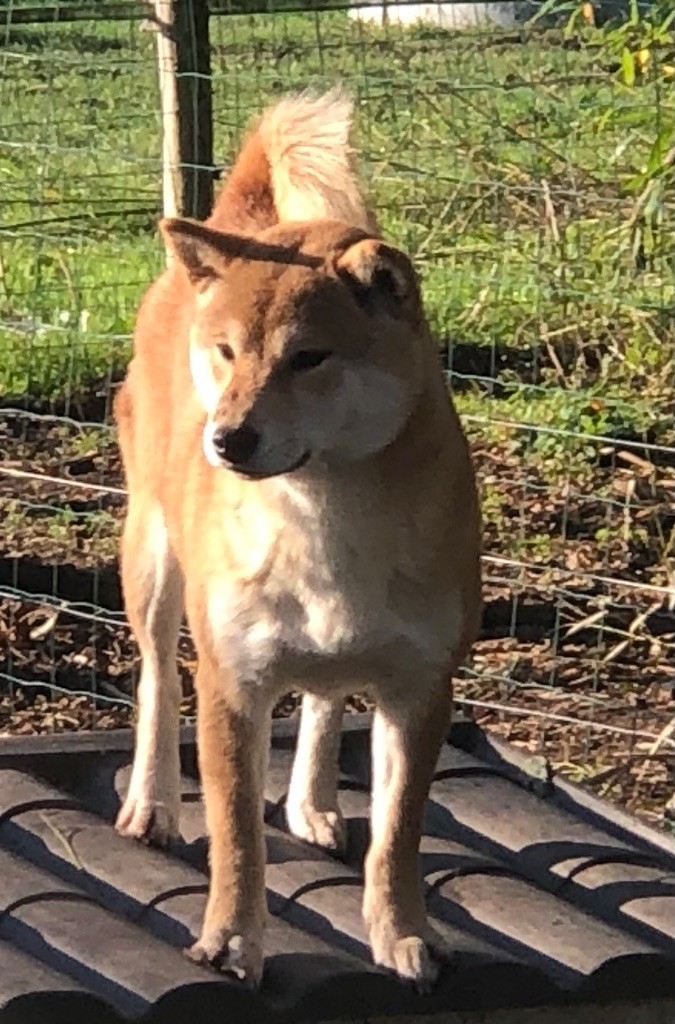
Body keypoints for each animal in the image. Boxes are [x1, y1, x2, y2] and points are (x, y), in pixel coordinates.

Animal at [117, 90, 485, 991]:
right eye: (226, 352)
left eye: (308, 358)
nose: (227, 439)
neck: (321, 518)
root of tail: (239, 224)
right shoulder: (230, 682)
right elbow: (236, 838)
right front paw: (229, 943)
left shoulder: (420, 688)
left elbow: (397, 838)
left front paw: (403, 937)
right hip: (152, 561)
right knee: (154, 680)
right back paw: (152, 802)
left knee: (324, 694)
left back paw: (313, 802)